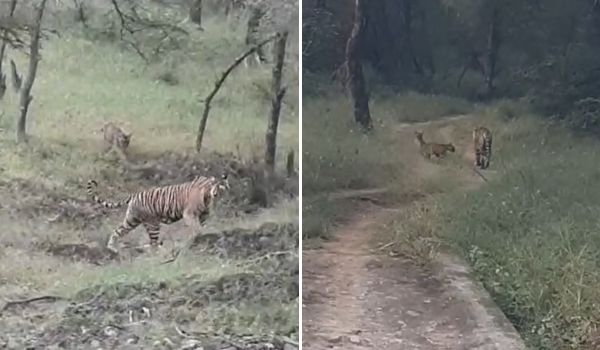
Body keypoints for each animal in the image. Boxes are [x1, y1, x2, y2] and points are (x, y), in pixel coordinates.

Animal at [86, 174, 230, 253]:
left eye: (219, 186)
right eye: (213, 185)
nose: (215, 193)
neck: (208, 196)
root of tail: (134, 195)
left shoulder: (204, 215)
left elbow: (202, 226)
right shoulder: (189, 214)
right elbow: (196, 227)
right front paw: (195, 237)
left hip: (132, 220)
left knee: (118, 231)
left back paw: (112, 248)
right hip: (153, 223)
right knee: (153, 244)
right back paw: (163, 250)